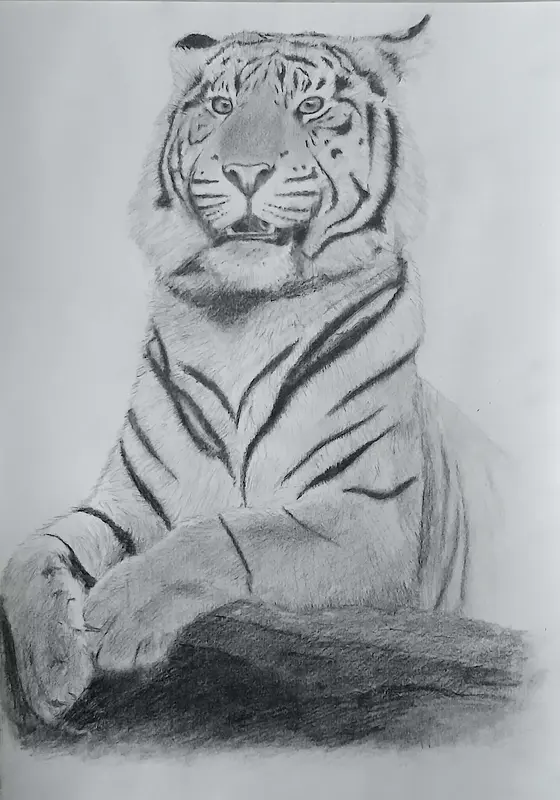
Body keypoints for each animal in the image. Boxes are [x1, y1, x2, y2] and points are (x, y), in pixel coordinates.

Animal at [0, 14, 505, 726]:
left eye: (311, 107)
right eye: (220, 106)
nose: (244, 172)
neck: (240, 315)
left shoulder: (371, 518)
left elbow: (229, 534)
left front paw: (115, 614)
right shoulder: (129, 502)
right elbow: (32, 553)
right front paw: (51, 674)